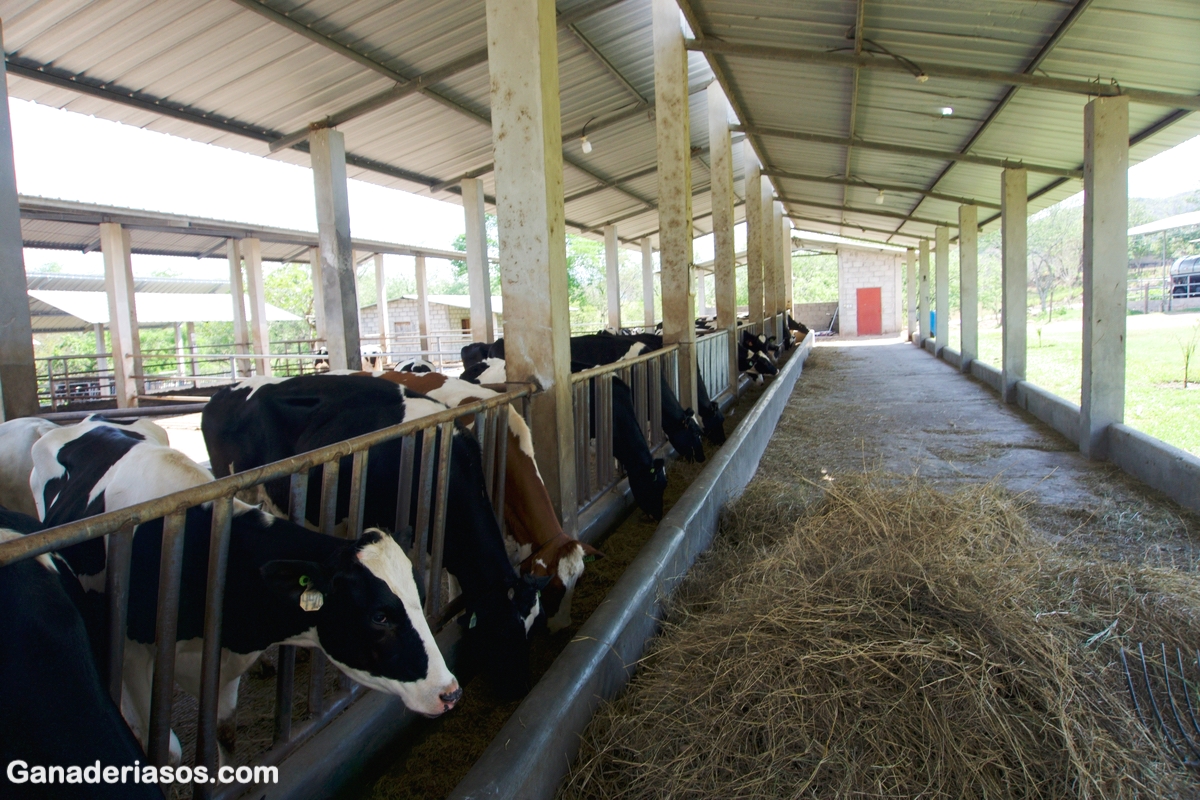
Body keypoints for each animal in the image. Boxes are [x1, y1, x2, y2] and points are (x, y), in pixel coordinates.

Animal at [202, 376, 540, 700]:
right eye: (502, 632)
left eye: (531, 629)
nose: (519, 690)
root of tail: (223, 392)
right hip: (238, 491)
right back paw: (259, 663)